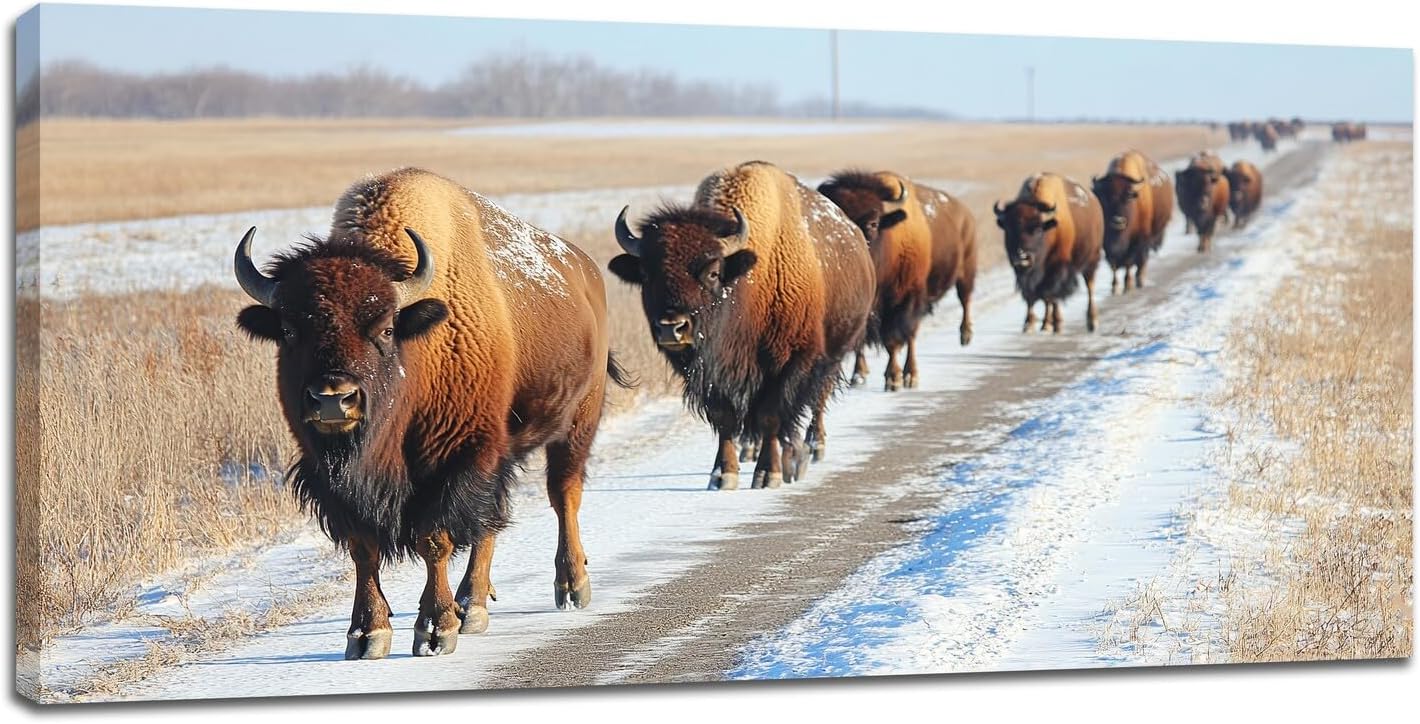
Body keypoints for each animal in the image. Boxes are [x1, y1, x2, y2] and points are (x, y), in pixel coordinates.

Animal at [234, 168, 629, 660]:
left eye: (385, 328)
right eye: (288, 331)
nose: (333, 399)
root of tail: (585, 271)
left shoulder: (457, 458)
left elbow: (434, 539)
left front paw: (435, 630)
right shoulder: (336, 481)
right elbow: (363, 548)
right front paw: (367, 635)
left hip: (576, 423)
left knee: (563, 495)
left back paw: (570, 586)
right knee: (492, 521)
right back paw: (472, 604)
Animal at [994, 173, 1104, 333]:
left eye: (1038, 229)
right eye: (1008, 229)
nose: (1023, 256)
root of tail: (1094, 202)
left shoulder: (1057, 269)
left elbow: (1051, 295)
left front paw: (1055, 323)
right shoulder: (1022, 272)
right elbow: (1031, 296)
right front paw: (1029, 324)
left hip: (1091, 261)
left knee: (1089, 287)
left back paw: (1092, 321)